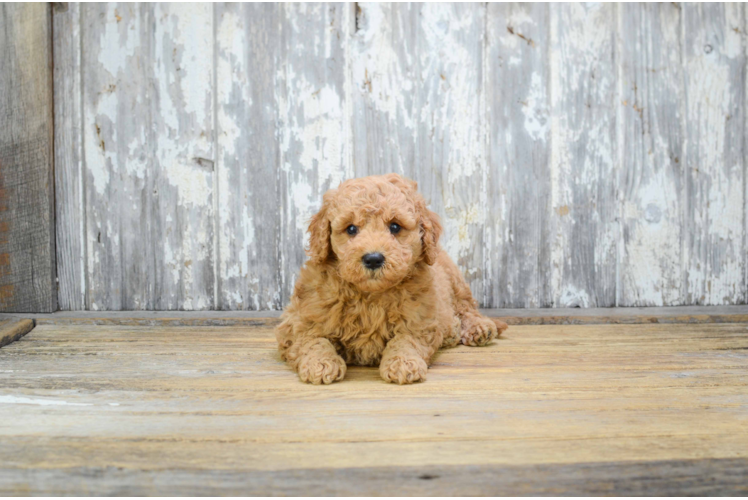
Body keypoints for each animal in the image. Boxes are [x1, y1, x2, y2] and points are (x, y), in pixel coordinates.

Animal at [274, 174, 508, 384]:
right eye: (351, 228)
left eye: (395, 227)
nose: (373, 259)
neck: (370, 295)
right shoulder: (297, 321)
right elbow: (312, 339)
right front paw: (320, 363)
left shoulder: (419, 320)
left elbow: (405, 340)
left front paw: (403, 363)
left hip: (455, 279)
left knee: (466, 307)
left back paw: (478, 327)